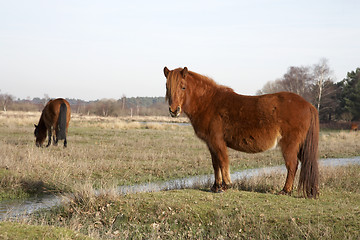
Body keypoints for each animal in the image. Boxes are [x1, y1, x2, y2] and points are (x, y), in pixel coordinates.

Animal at [165, 66, 320, 198]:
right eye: (167, 87)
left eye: (183, 87)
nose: (174, 110)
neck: (208, 103)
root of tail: (308, 105)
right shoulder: (210, 144)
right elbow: (215, 164)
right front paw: (215, 186)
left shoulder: (217, 141)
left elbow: (223, 161)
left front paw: (225, 185)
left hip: (290, 145)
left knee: (292, 165)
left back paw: (285, 191)